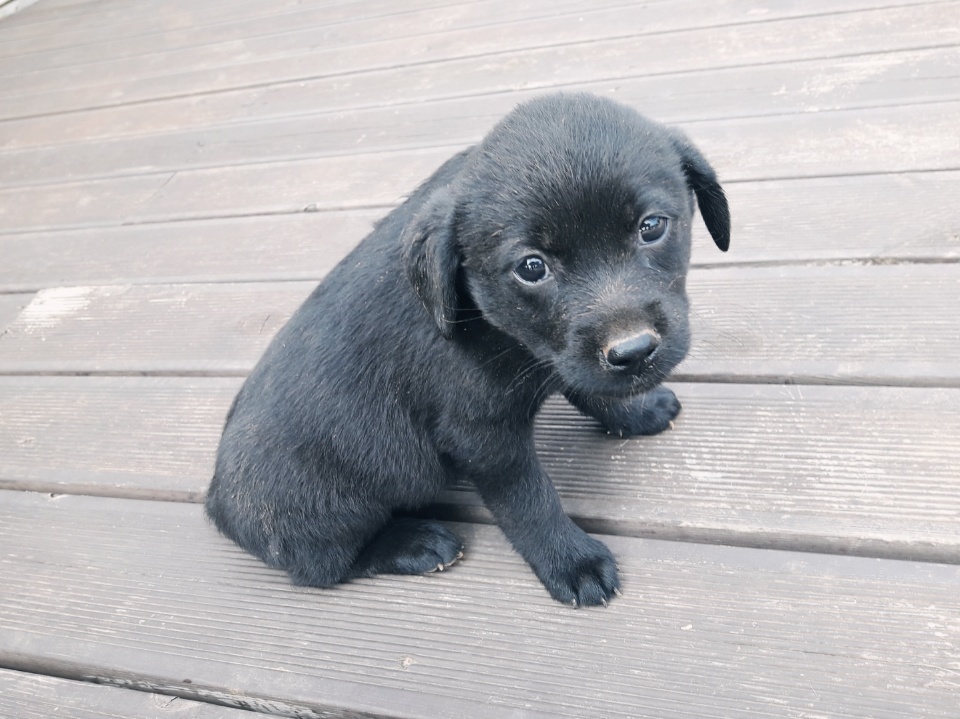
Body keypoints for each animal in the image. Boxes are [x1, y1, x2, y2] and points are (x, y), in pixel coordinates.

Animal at [204, 91, 728, 608]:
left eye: (652, 226)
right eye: (532, 267)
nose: (634, 351)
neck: (493, 323)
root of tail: (215, 503)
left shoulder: (561, 358)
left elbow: (588, 387)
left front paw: (636, 411)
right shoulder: (484, 438)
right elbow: (529, 502)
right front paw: (570, 561)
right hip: (324, 511)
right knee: (324, 567)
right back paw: (413, 544)